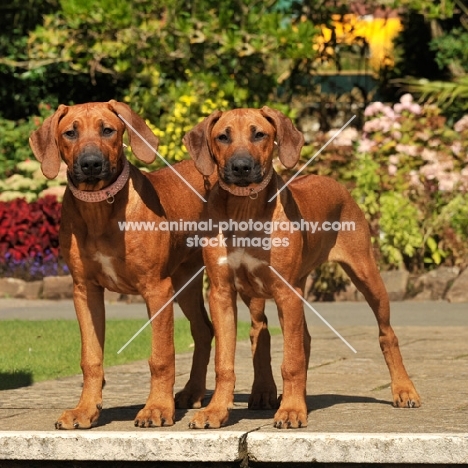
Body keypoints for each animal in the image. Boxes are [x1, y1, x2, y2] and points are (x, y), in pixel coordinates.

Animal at [28, 101, 212, 428]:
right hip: (185, 280)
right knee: (203, 330)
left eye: (108, 130)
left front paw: (157, 408)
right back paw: (192, 392)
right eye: (70, 133)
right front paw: (85, 410)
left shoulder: (156, 289)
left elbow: (161, 356)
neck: (100, 208)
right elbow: (90, 358)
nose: (90, 164)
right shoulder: (84, 291)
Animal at [183, 108, 420, 430]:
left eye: (259, 134)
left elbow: (292, 361)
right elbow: (224, 363)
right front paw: (216, 411)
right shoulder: (221, 292)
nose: (241, 167)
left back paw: (403, 390)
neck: (245, 211)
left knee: (387, 334)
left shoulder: (286, 291)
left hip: (366, 275)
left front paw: (293, 410)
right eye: (223, 137)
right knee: (278, 333)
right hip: (266, 291)